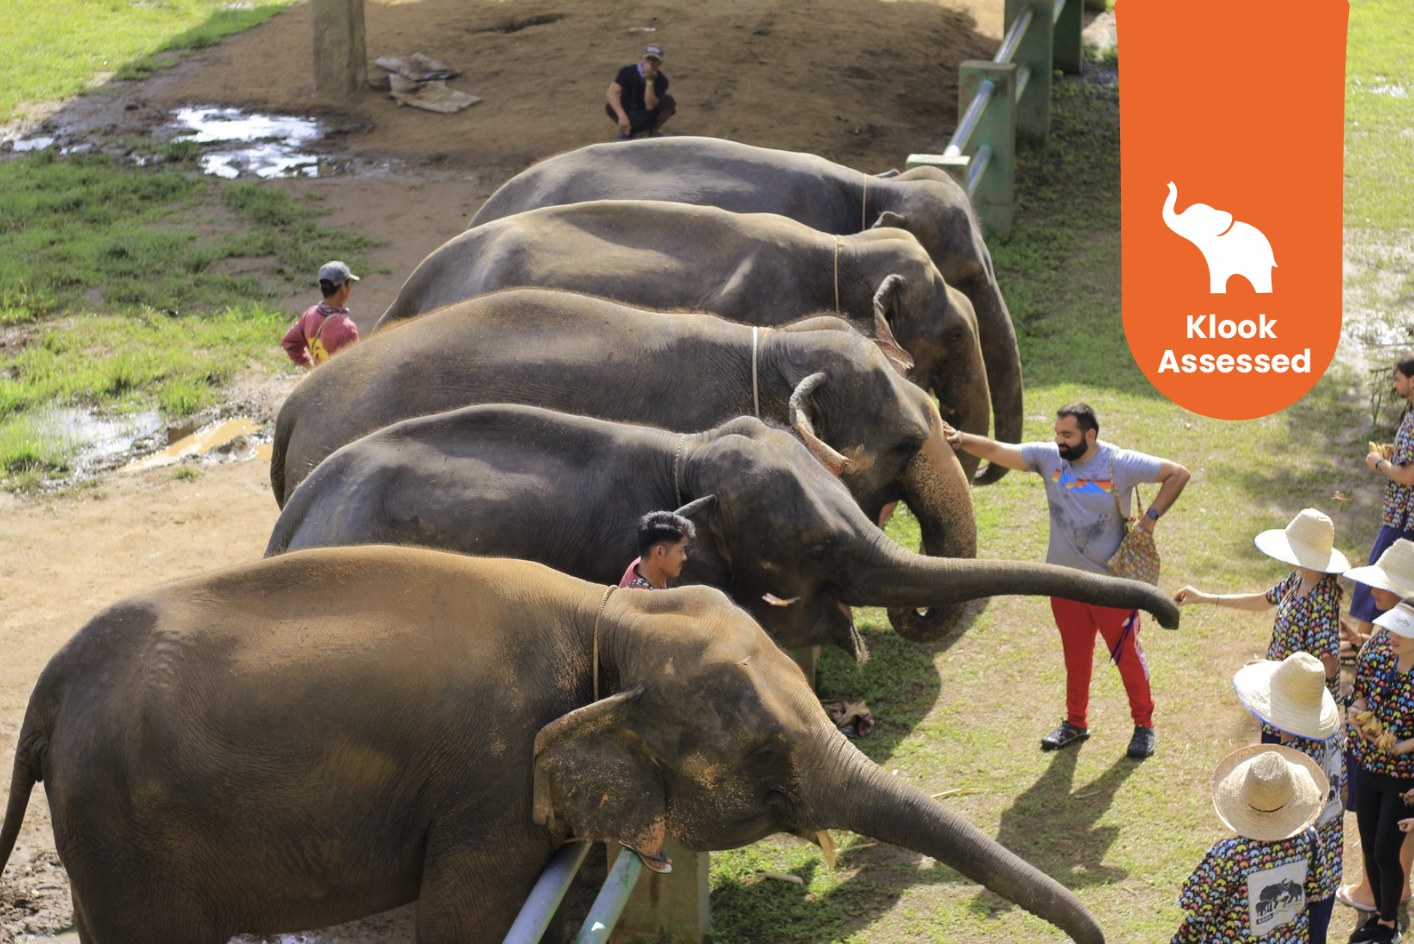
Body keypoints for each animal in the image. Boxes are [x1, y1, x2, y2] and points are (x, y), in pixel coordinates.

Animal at [0, 548, 1109, 944]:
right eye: (766, 761)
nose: (1094, 934)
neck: (609, 615)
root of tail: (52, 681)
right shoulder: (483, 783)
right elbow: (461, 920)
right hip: (125, 823)